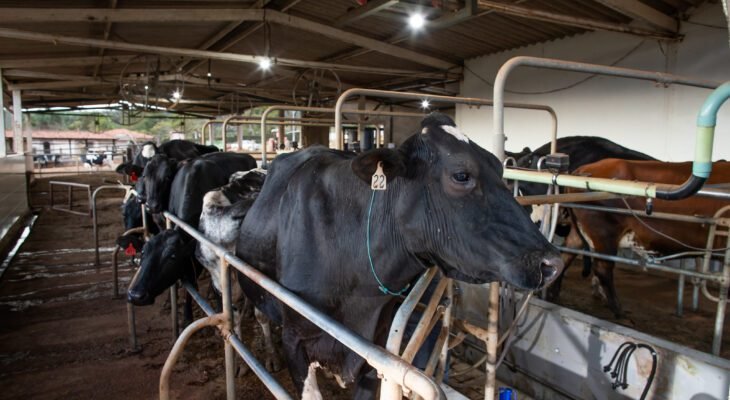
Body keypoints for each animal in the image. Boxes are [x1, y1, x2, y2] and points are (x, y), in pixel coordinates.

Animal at [548, 158, 728, 318]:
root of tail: (583, 170)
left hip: (581, 232)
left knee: (567, 255)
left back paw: (553, 294)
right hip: (604, 233)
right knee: (602, 268)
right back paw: (619, 311)